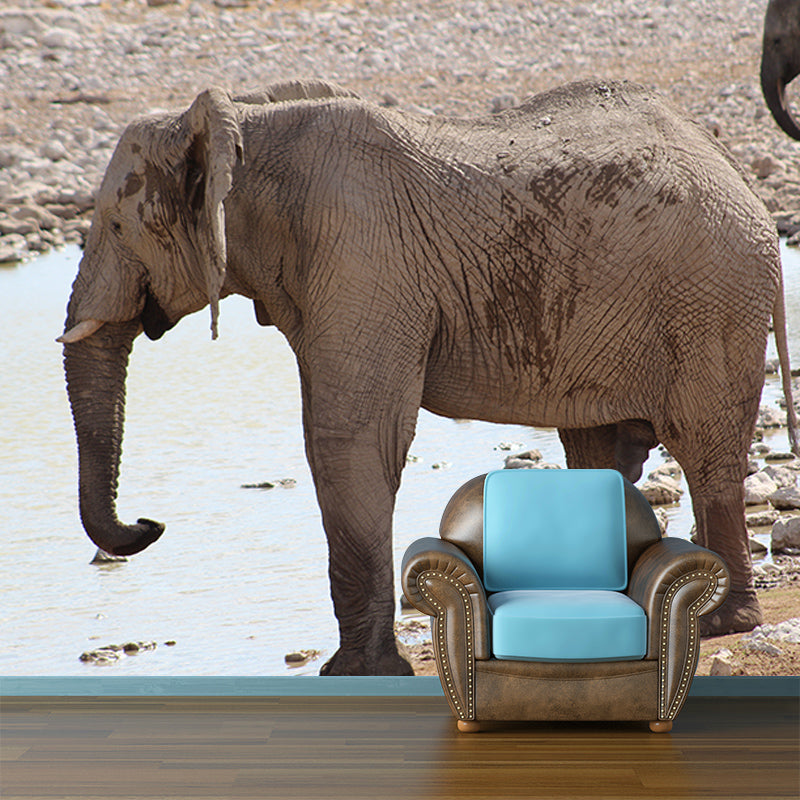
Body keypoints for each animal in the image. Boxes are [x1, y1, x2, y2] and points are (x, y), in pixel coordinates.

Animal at [60, 77, 798, 675]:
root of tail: (740, 176)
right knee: (599, 450)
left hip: (710, 300)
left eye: (119, 225)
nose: (149, 524)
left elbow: (349, 440)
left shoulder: (361, 260)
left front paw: (355, 674)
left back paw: (722, 622)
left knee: (704, 450)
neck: (246, 123)